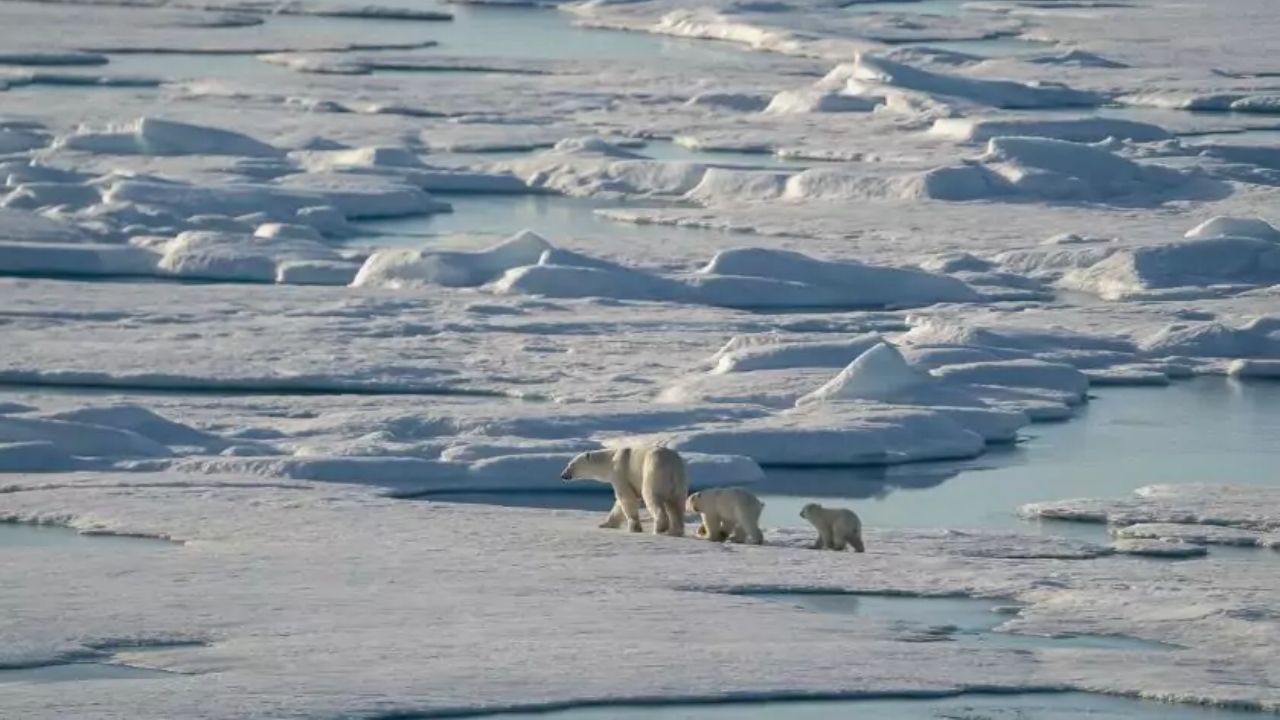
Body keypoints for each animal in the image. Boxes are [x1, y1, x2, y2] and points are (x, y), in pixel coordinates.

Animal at [560, 440, 691, 535]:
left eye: (571, 464)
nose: (563, 475)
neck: (610, 459)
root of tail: (672, 468)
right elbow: (619, 504)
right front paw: (605, 524)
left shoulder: (620, 471)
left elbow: (626, 497)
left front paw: (634, 528)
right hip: (680, 483)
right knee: (676, 504)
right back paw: (675, 531)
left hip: (653, 471)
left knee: (652, 497)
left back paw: (659, 528)